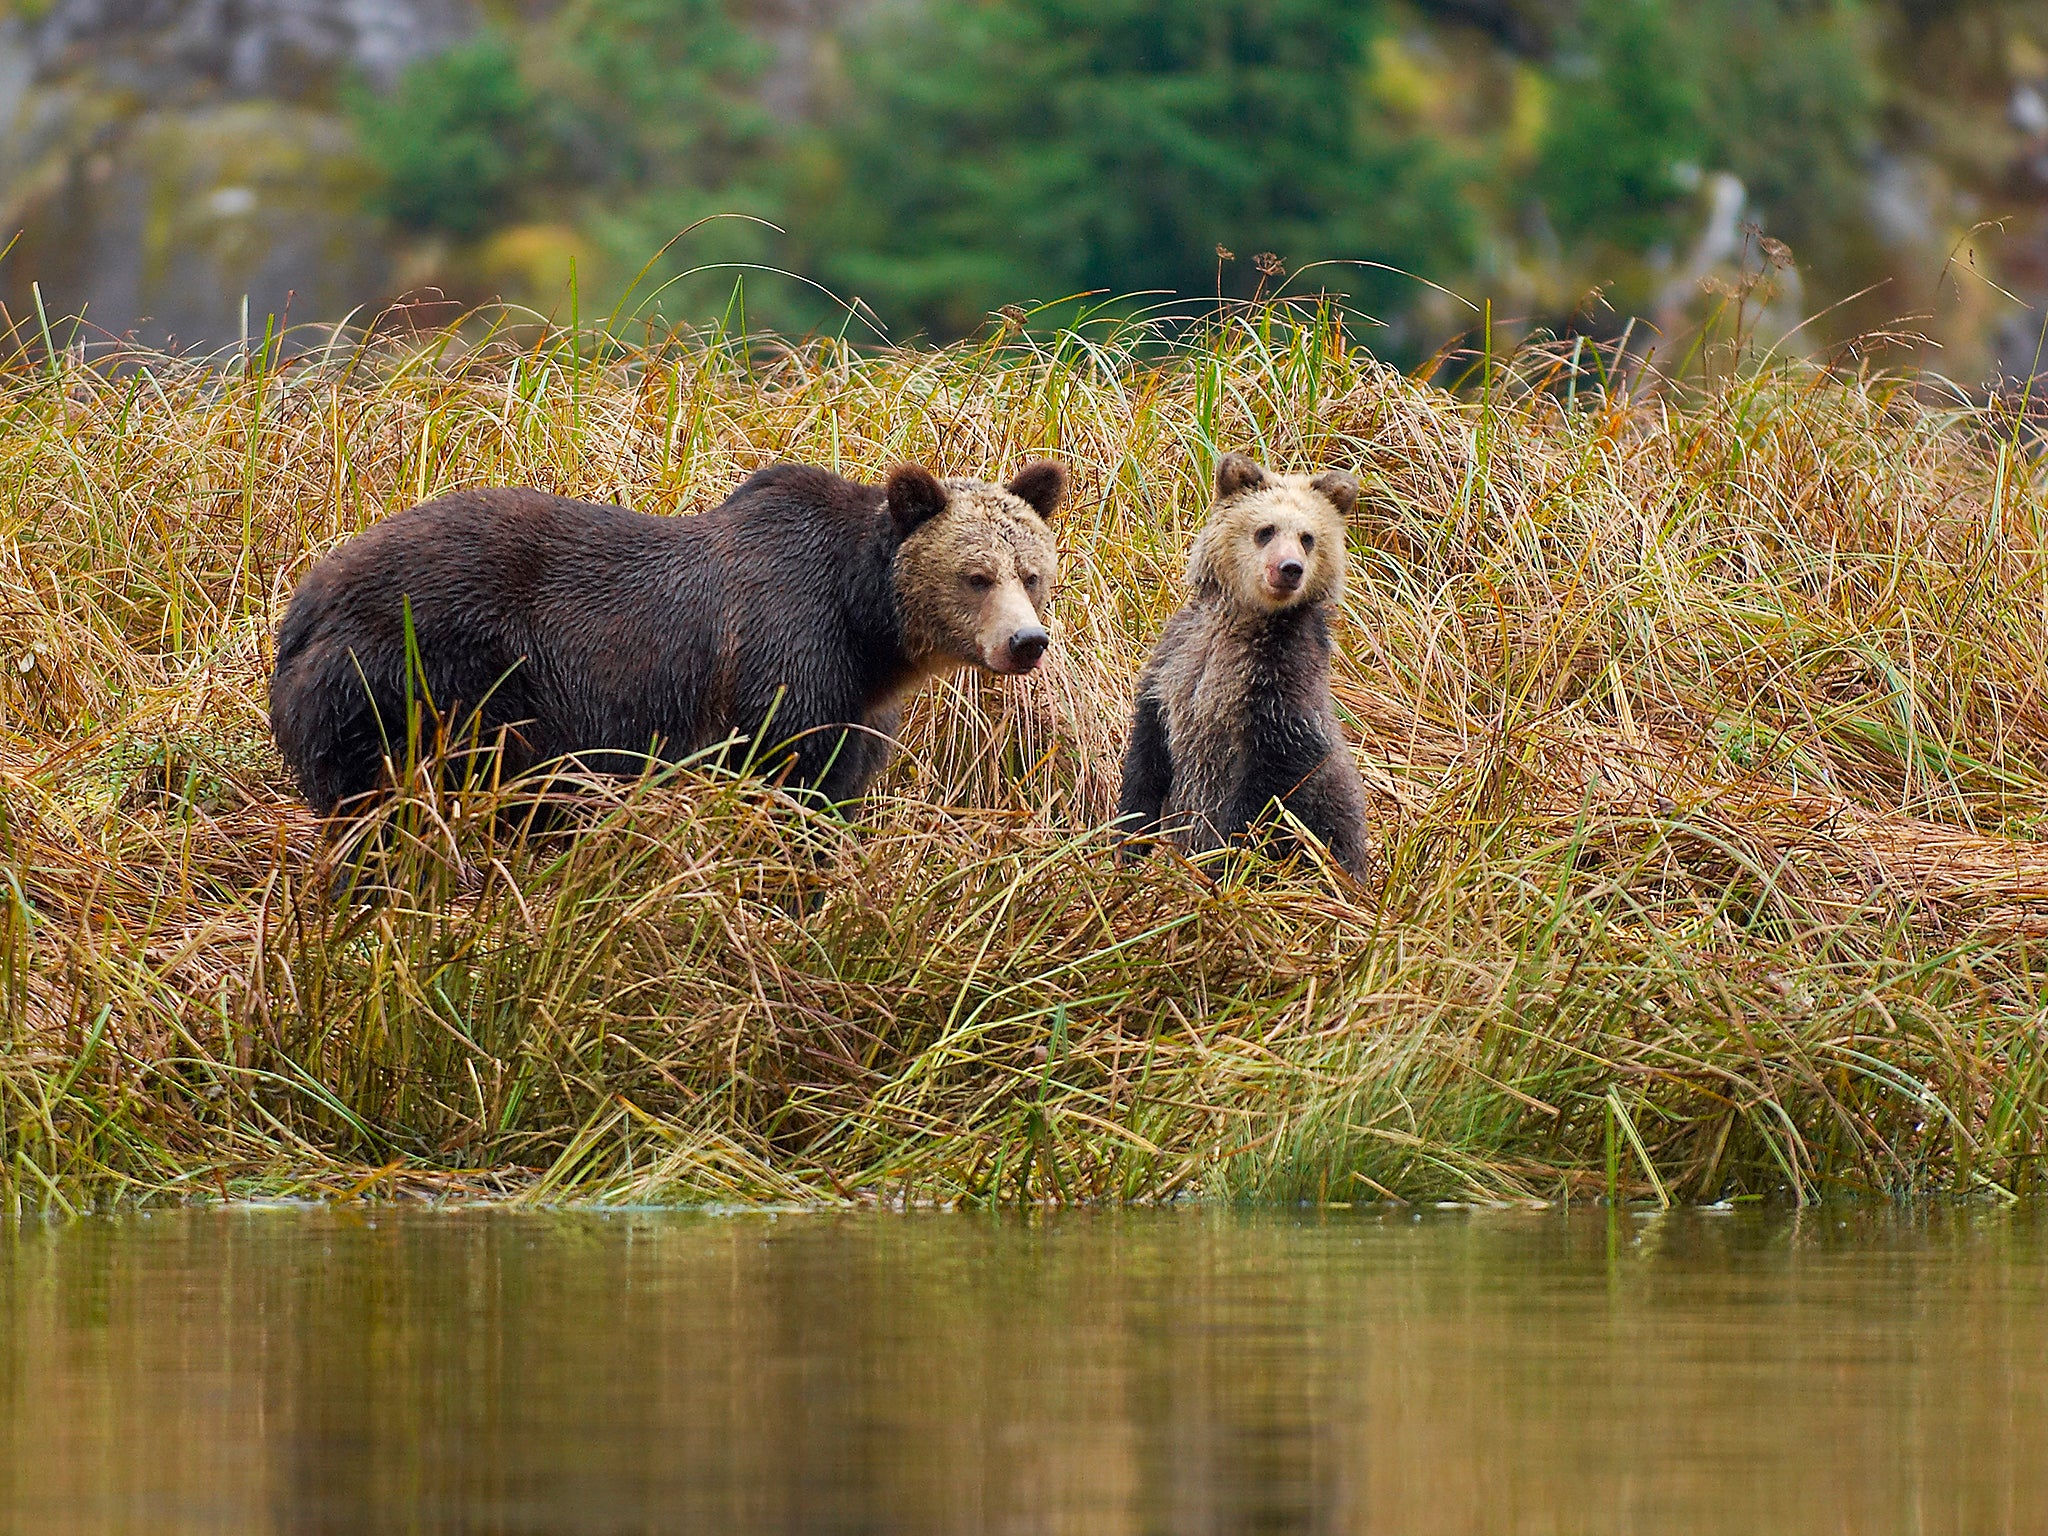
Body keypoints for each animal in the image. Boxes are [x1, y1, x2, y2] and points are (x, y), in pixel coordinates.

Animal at [270, 460, 1064, 811]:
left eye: (1032, 574)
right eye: (975, 576)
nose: (1026, 642)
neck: (867, 629)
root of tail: (305, 600)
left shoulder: (859, 709)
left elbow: (837, 793)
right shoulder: (785, 664)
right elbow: (784, 785)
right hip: (422, 679)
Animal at [1114, 450, 1368, 876]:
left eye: (1308, 538)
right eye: (1266, 530)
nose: (1289, 569)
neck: (1245, 621)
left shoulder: (1278, 684)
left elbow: (1266, 787)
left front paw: (1221, 858)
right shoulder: (1176, 660)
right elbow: (1146, 758)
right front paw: (1126, 841)